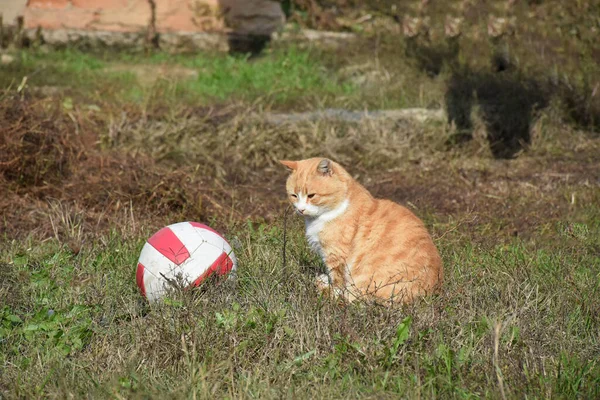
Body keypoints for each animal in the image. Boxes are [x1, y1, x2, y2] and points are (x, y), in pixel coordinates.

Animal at [278, 156, 442, 304]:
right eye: (294, 195)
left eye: (311, 195)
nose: (301, 209)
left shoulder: (335, 255)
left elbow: (337, 281)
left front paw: (331, 287)